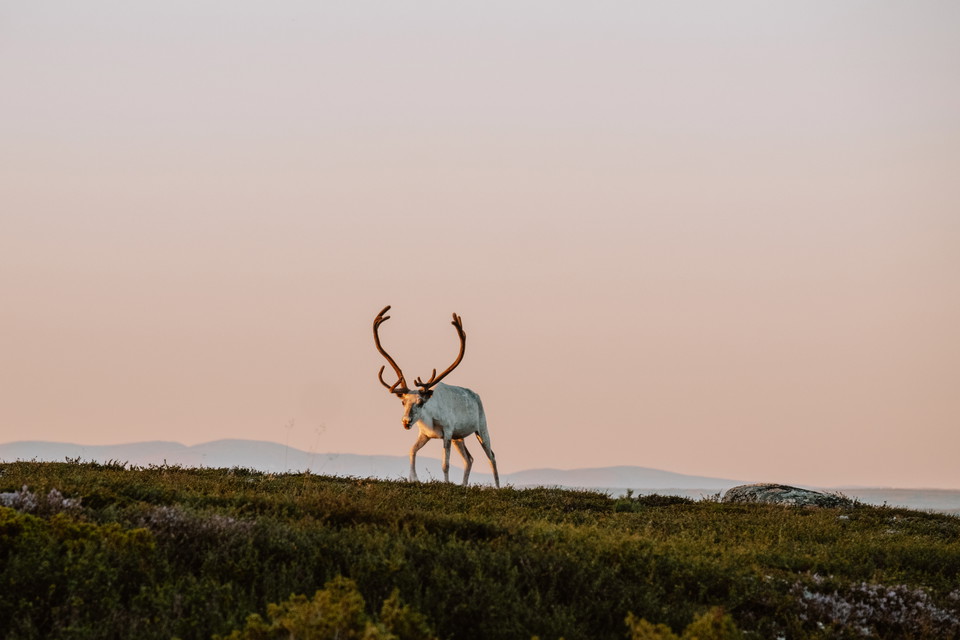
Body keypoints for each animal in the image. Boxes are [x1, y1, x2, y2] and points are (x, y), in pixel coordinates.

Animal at [373, 305, 500, 488]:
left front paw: (446, 483)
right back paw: (464, 485)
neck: (430, 418)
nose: (406, 421)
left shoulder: (447, 431)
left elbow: (445, 464)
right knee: (469, 459)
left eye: (420, 402)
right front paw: (413, 478)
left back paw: (497, 486)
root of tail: (476, 395)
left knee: (491, 456)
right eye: (403, 402)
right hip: (458, 437)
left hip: (481, 427)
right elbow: (411, 451)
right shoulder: (426, 434)